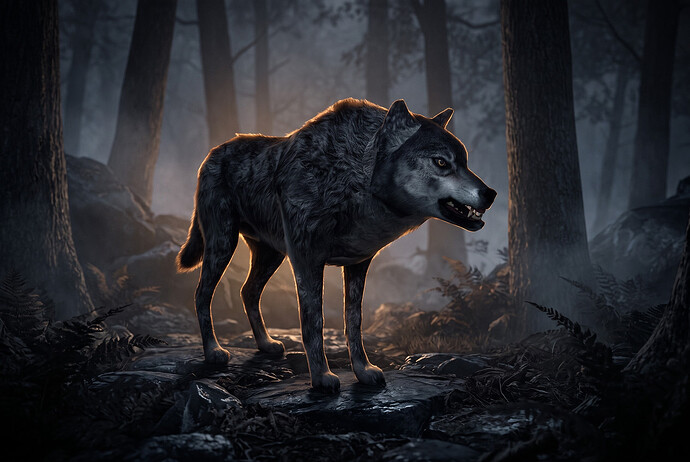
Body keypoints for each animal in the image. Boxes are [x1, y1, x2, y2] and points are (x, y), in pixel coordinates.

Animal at [177, 98, 496, 393]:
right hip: (222, 244)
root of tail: (212, 153)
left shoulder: (358, 264)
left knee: (248, 291)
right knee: (201, 294)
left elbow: (353, 322)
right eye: (441, 162)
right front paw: (321, 378)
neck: (354, 179)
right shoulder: (306, 260)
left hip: (271, 255)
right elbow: (313, 323)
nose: (491, 193)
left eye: (465, 162)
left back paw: (266, 344)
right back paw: (214, 352)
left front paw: (363, 371)